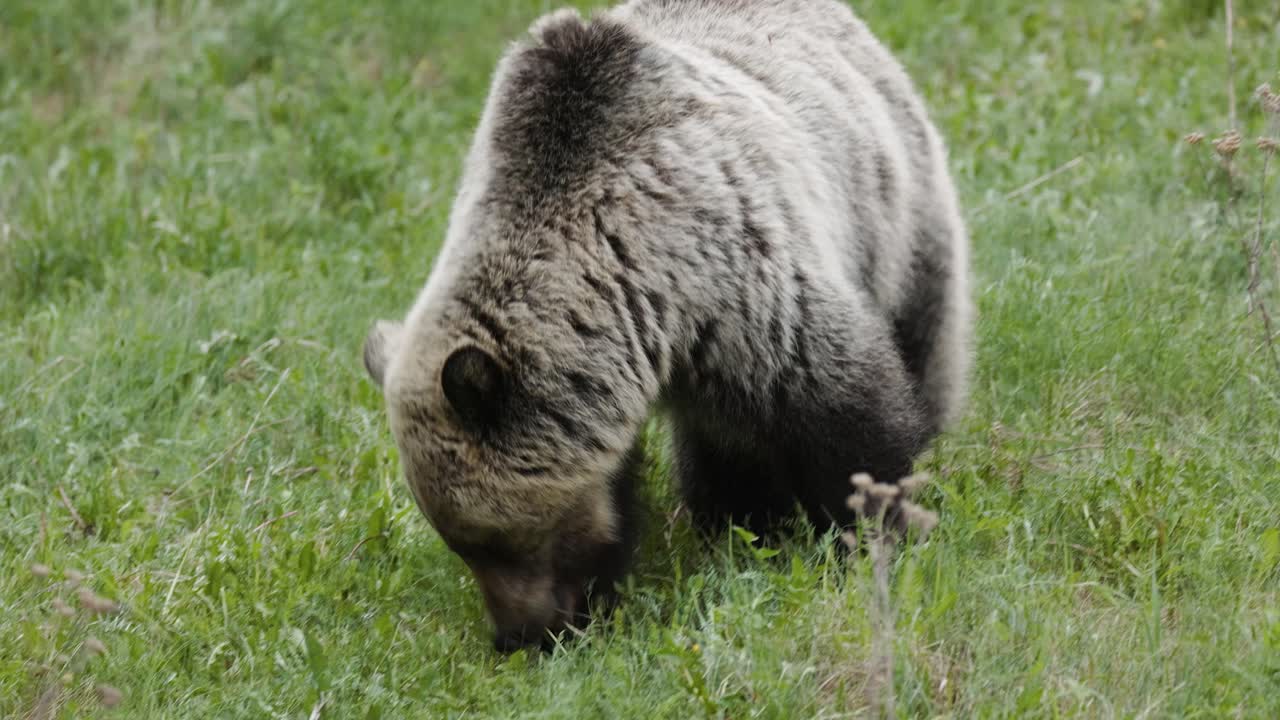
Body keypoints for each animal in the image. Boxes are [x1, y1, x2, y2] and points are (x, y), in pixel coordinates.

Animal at [362, 0, 972, 652]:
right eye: (459, 545)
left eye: (494, 539)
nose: (519, 636)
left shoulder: (744, 293)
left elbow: (849, 419)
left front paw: (867, 531)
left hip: (897, 215)